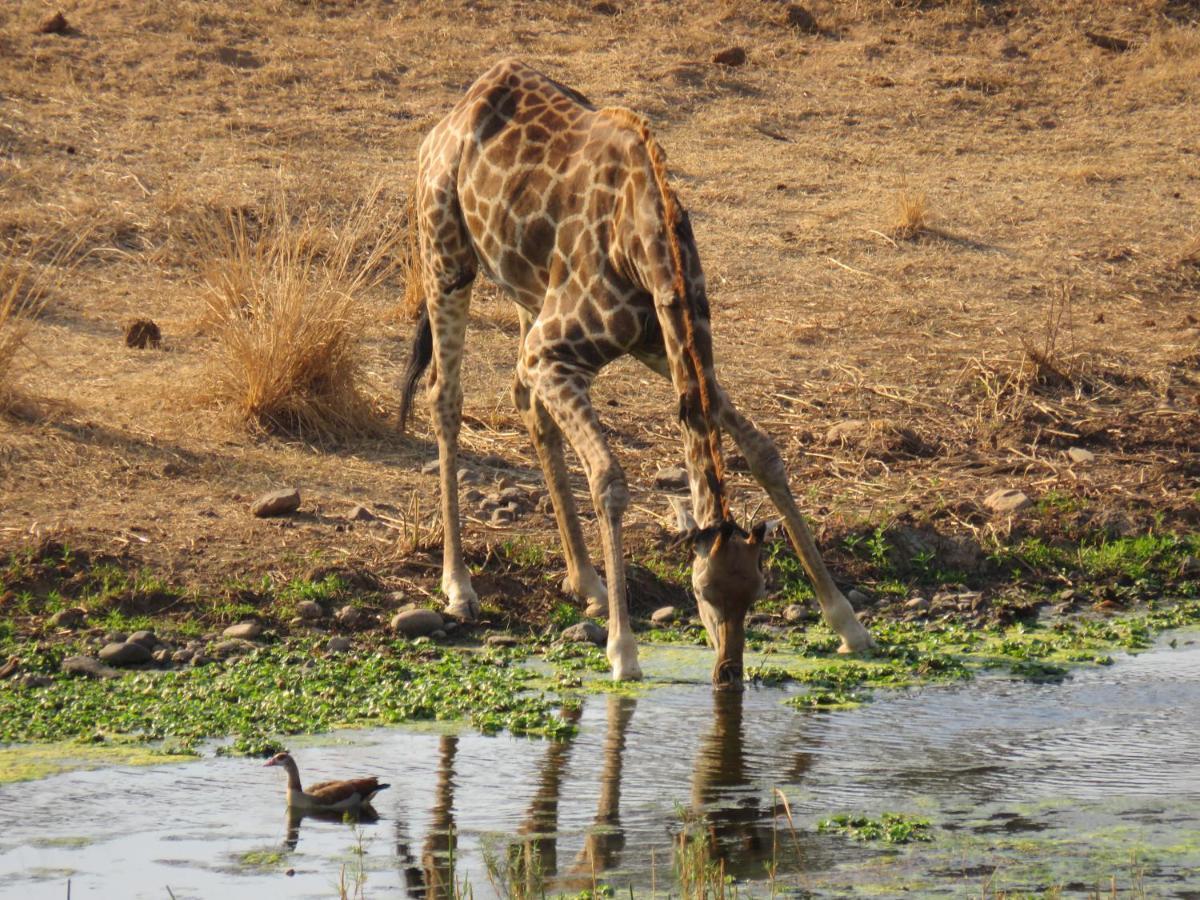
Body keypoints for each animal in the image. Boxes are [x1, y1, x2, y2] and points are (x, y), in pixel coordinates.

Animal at [398, 58, 878, 691]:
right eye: (703, 595)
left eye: (758, 592)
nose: (727, 674)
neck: (648, 241)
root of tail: (456, 112)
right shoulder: (554, 351)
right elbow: (609, 477)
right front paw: (623, 653)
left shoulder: (664, 348)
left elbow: (762, 450)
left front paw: (849, 625)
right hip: (445, 256)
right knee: (445, 398)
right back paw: (460, 588)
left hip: (528, 294)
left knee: (524, 401)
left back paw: (589, 584)